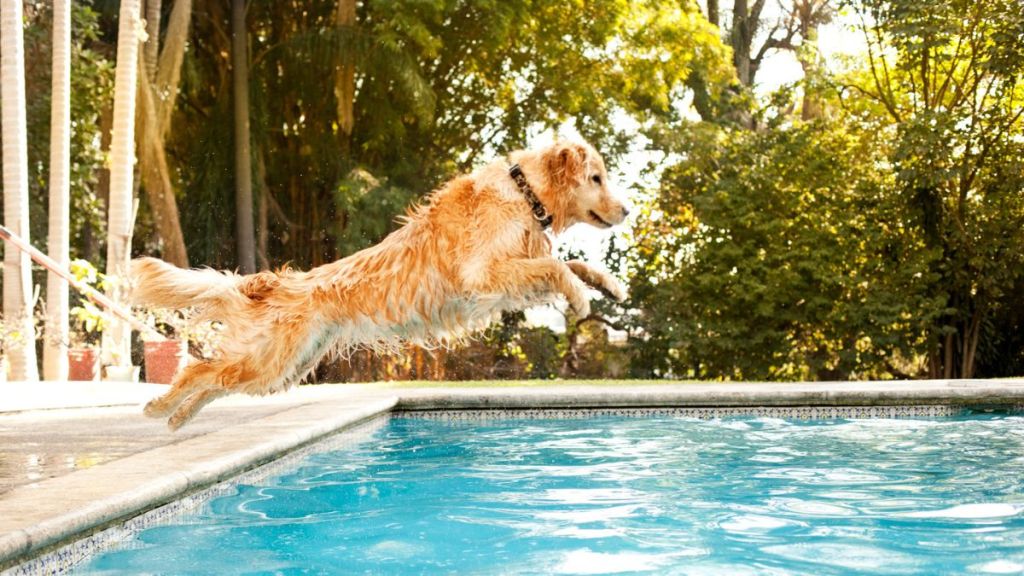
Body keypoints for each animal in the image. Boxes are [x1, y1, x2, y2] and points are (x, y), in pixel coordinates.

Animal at [132, 139, 626, 426]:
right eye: (596, 178)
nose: (626, 210)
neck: (525, 194)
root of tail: (275, 282)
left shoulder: (512, 273)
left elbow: (568, 262)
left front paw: (609, 285)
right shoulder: (483, 275)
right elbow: (558, 267)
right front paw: (582, 298)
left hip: (280, 369)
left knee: (215, 380)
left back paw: (177, 417)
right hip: (269, 361)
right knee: (198, 370)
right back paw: (160, 407)